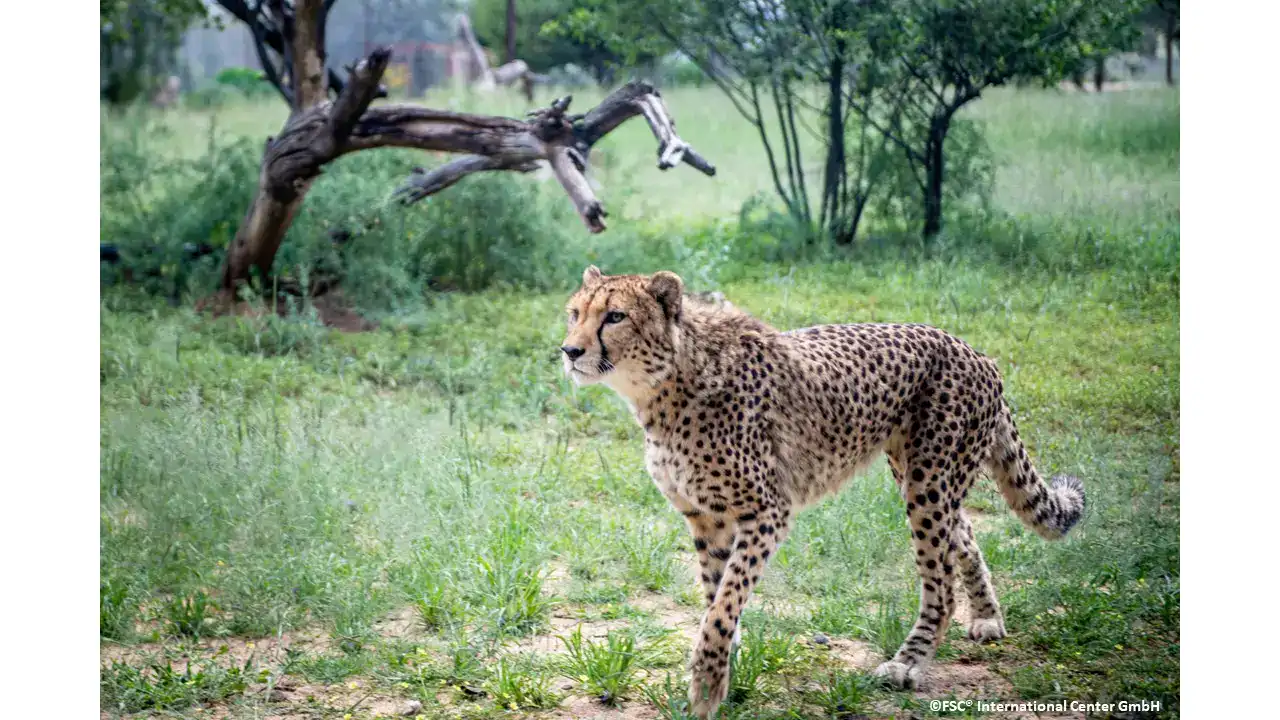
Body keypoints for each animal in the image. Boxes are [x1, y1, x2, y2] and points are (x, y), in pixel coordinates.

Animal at [560, 266, 1085, 719]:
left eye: (615, 316)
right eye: (574, 313)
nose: (569, 351)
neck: (664, 386)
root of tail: (973, 350)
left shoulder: (766, 511)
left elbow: (723, 604)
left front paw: (707, 686)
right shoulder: (707, 517)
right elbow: (716, 596)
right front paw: (728, 665)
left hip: (929, 483)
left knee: (940, 583)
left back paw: (908, 662)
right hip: (921, 475)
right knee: (966, 535)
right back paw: (987, 616)